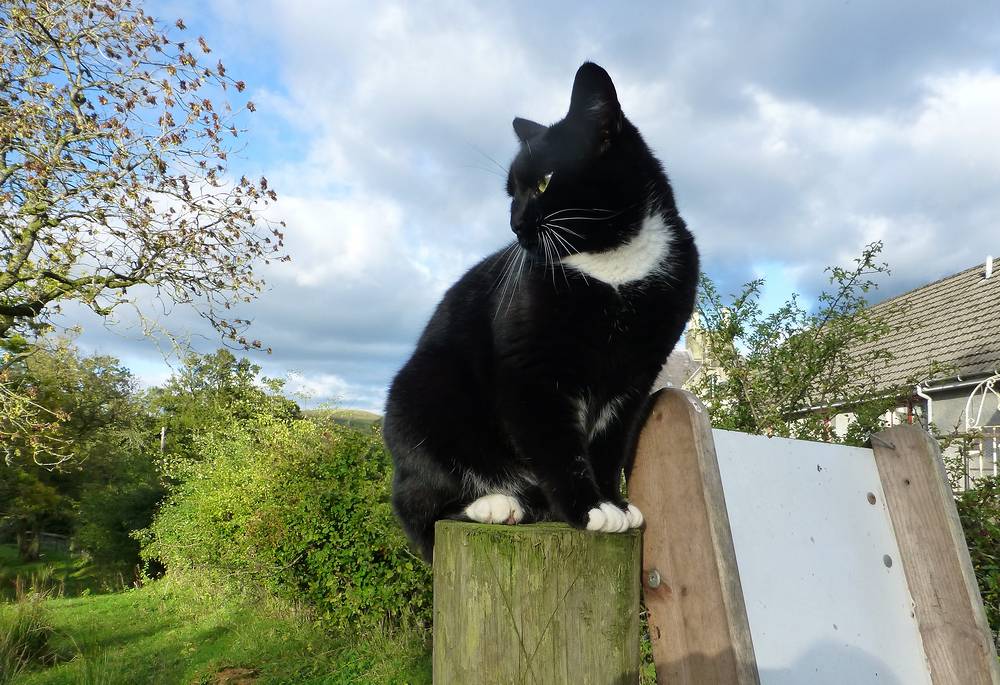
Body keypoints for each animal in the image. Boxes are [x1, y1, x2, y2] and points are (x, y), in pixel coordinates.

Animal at [382, 62, 696, 560]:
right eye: (511, 193)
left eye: (545, 182)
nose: (514, 224)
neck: (612, 264)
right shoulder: (529, 369)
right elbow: (554, 441)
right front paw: (589, 509)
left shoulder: (636, 374)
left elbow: (608, 443)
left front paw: (613, 501)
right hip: (422, 395)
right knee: (417, 505)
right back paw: (494, 503)